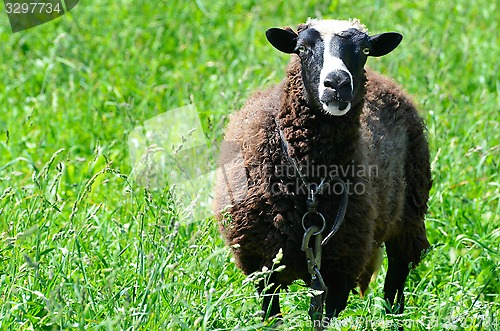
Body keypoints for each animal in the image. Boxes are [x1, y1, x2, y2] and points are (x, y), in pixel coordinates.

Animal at [213, 18, 432, 330]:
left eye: (365, 50)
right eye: (302, 48)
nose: (337, 83)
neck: (310, 180)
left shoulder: (340, 265)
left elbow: (324, 318)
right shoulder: (262, 261)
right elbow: (271, 316)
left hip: (409, 216)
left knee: (395, 287)